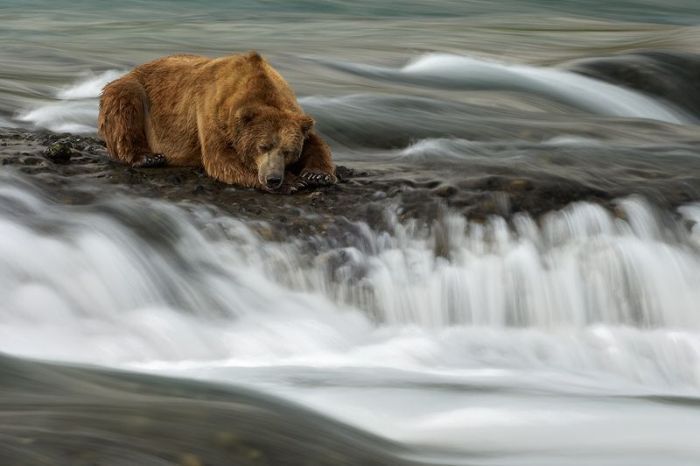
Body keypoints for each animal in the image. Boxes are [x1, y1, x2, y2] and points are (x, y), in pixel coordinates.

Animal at [97, 52, 336, 193]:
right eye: (263, 146)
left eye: (288, 151)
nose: (273, 179)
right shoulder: (210, 110)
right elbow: (221, 159)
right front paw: (294, 182)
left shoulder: (294, 113)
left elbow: (316, 143)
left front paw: (317, 174)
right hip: (134, 90)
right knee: (124, 104)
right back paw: (149, 157)